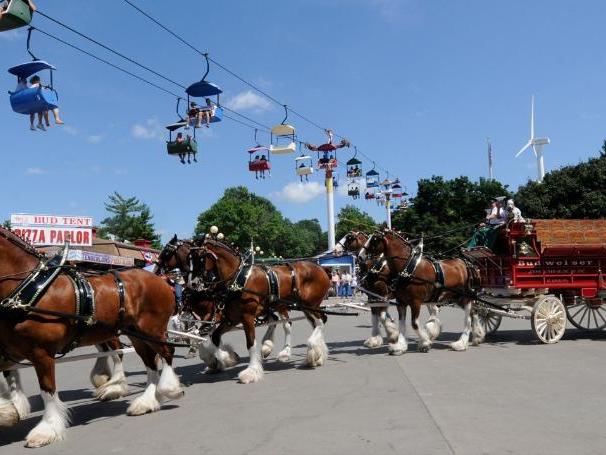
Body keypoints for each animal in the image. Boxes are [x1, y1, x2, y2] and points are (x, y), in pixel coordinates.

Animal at [0, 228, 183, 448]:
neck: (29, 287)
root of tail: (160, 279)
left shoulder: (41, 351)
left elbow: (47, 389)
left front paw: (47, 430)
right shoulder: (9, 350)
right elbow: (9, 378)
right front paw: (8, 412)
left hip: (152, 331)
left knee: (167, 353)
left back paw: (169, 389)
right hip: (135, 334)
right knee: (150, 362)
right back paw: (145, 402)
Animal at [196, 237, 330, 382]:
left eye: (198, 257)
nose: (193, 286)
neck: (238, 279)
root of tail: (322, 268)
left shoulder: (246, 315)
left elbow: (250, 343)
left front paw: (251, 371)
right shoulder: (232, 317)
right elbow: (214, 336)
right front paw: (225, 359)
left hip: (310, 304)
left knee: (320, 322)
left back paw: (310, 351)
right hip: (301, 306)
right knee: (316, 322)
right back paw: (317, 356)